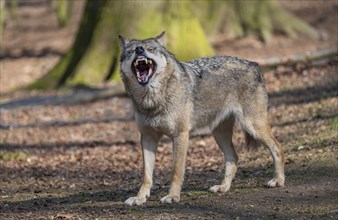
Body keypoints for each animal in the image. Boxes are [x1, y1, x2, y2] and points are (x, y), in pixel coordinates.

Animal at [117, 32, 284, 206]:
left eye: (151, 48)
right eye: (131, 51)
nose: (139, 49)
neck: (152, 100)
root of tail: (254, 64)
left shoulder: (181, 135)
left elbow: (176, 171)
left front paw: (172, 196)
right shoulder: (147, 138)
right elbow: (146, 176)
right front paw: (140, 198)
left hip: (253, 126)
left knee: (277, 147)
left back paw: (278, 180)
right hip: (220, 134)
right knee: (233, 157)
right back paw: (223, 187)